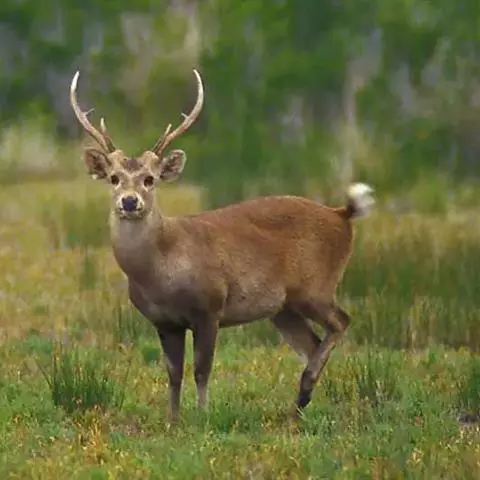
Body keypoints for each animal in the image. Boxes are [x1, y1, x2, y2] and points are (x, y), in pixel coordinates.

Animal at [69, 69, 375, 422]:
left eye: (149, 179)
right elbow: (173, 373)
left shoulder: (210, 306)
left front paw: (203, 416)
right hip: (283, 307)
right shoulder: (165, 322)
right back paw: (298, 405)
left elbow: (202, 369)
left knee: (341, 321)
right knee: (312, 342)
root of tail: (342, 214)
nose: (130, 202)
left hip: (316, 286)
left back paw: (303, 390)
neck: (161, 268)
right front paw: (173, 420)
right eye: (114, 178)